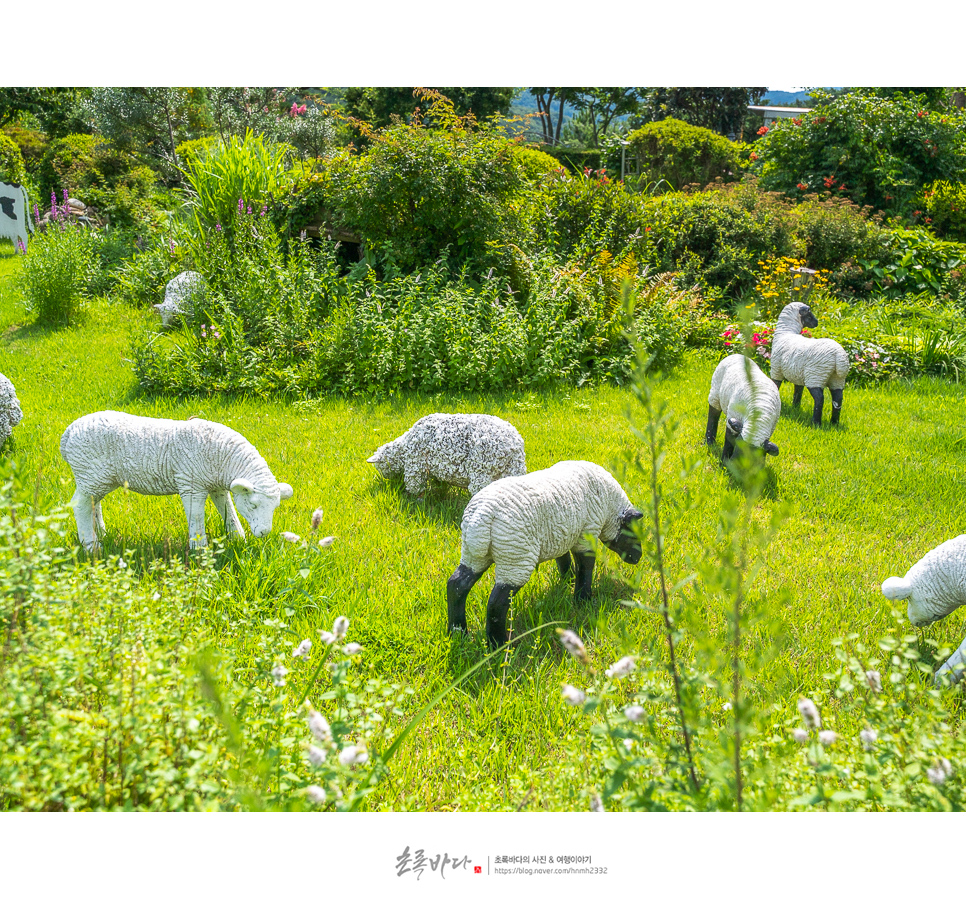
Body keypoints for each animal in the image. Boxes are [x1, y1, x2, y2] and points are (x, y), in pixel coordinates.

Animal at [61, 414, 294, 548]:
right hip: (90, 473)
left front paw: (238, 539)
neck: (222, 456)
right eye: (253, 505)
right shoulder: (191, 485)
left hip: (96, 478)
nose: (263, 533)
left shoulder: (216, 485)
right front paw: (200, 551)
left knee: (93, 502)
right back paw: (91, 545)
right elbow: (196, 518)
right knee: (80, 504)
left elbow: (228, 511)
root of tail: (68, 432)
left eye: (275, 507)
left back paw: (100, 533)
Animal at [368, 412, 528, 496]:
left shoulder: (415, 466)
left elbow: (415, 486)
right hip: (511, 470)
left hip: (481, 471)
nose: (385, 478)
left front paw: (415, 498)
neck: (404, 446)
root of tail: (514, 444)